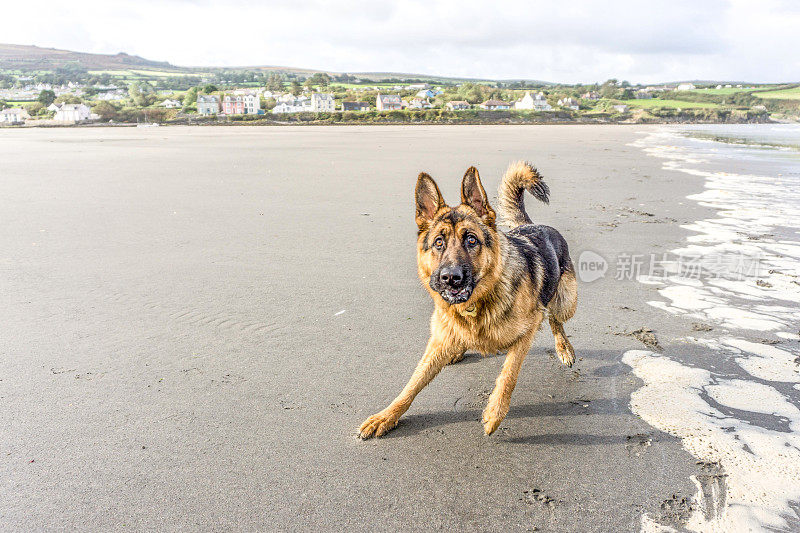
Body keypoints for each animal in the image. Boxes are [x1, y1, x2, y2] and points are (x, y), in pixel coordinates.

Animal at [360, 161, 576, 436]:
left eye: (471, 240)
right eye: (438, 243)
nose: (450, 278)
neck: (475, 306)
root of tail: (533, 224)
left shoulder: (526, 332)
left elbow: (509, 373)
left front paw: (495, 413)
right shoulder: (436, 343)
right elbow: (412, 384)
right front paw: (387, 415)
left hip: (566, 302)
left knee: (555, 319)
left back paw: (564, 348)